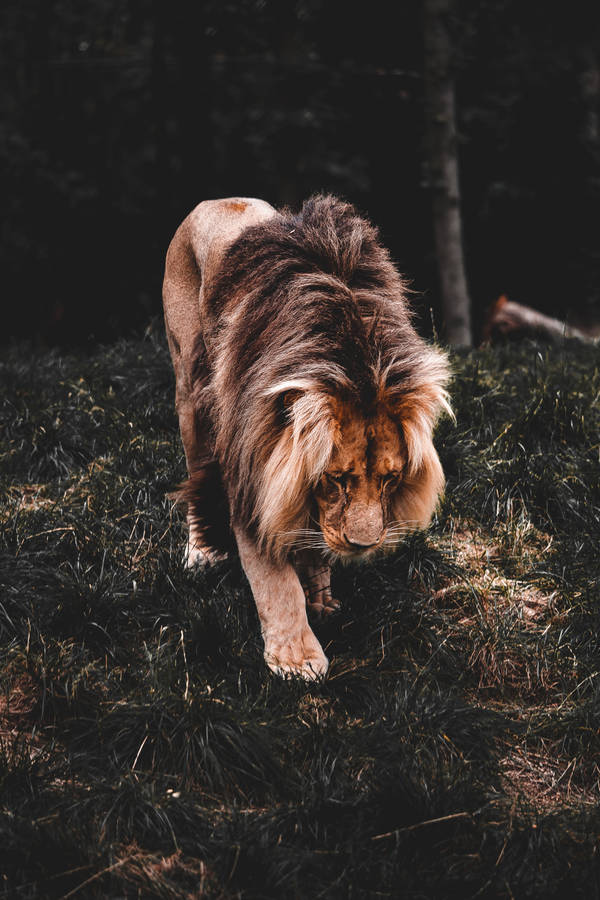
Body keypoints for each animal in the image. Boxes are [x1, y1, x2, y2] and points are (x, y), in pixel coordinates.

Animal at [162, 195, 450, 679]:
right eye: (336, 478)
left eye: (391, 479)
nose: (363, 547)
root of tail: (218, 200)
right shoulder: (252, 467)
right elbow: (274, 580)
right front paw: (296, 658)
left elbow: (311, 535)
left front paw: (320, 596)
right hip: (189, 391)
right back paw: (202, 553)